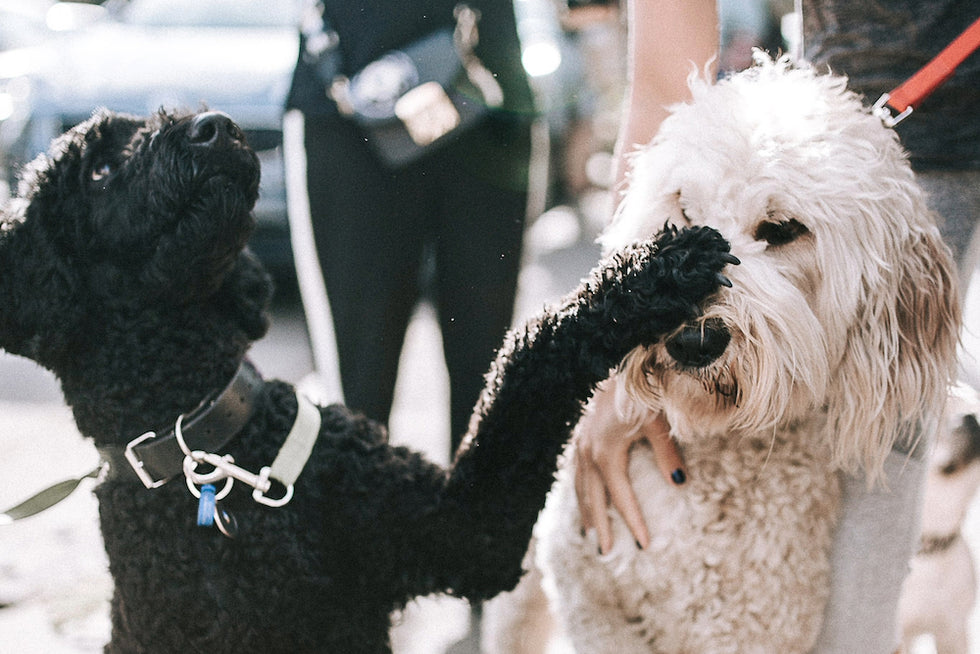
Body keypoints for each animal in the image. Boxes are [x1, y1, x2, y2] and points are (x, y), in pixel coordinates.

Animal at [0, 110, 736, 652]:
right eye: (99, 169)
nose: (216, 124)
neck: (204, 443)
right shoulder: (474, 534)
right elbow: (530, 353)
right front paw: (657, 270)